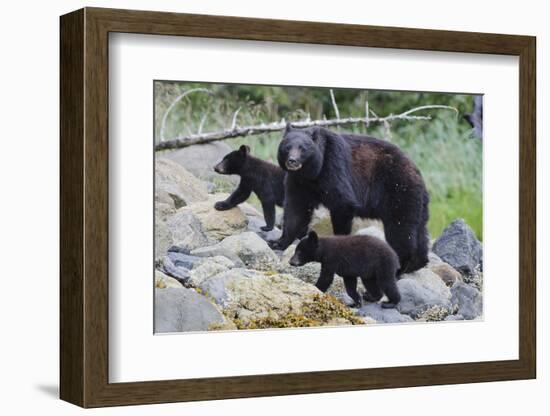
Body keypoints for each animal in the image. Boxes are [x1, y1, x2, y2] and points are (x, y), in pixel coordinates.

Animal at [272, 125, 432, 274]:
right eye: (287, 147)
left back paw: (400, 267)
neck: (312, 173)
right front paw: (278, 242)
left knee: (401, 229)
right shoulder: (298, 182)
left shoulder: (334, 167)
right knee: (420, 232)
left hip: (399, 192)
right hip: (417, 204)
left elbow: (342, 203)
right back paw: (416, 264)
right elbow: (296, 210)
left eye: (303, 148)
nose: (292, 161)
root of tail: (419, 176)